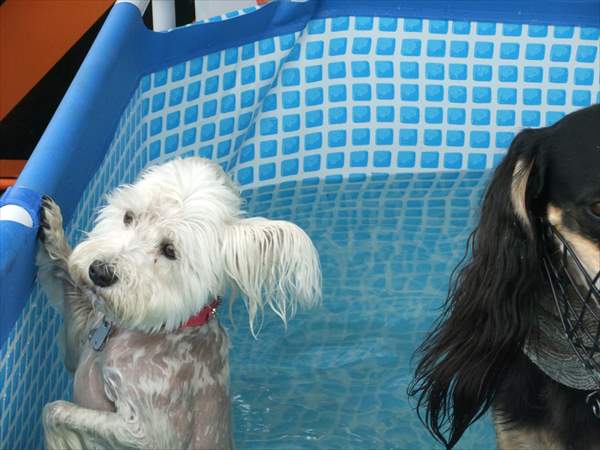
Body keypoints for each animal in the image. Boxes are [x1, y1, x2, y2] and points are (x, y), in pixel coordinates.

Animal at [36, 157, 322, 449]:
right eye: (128, 217)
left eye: (169, 250)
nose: (100, 272)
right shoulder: (78, 350)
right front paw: (54, 233)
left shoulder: (150, 433)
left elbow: (54, 409)